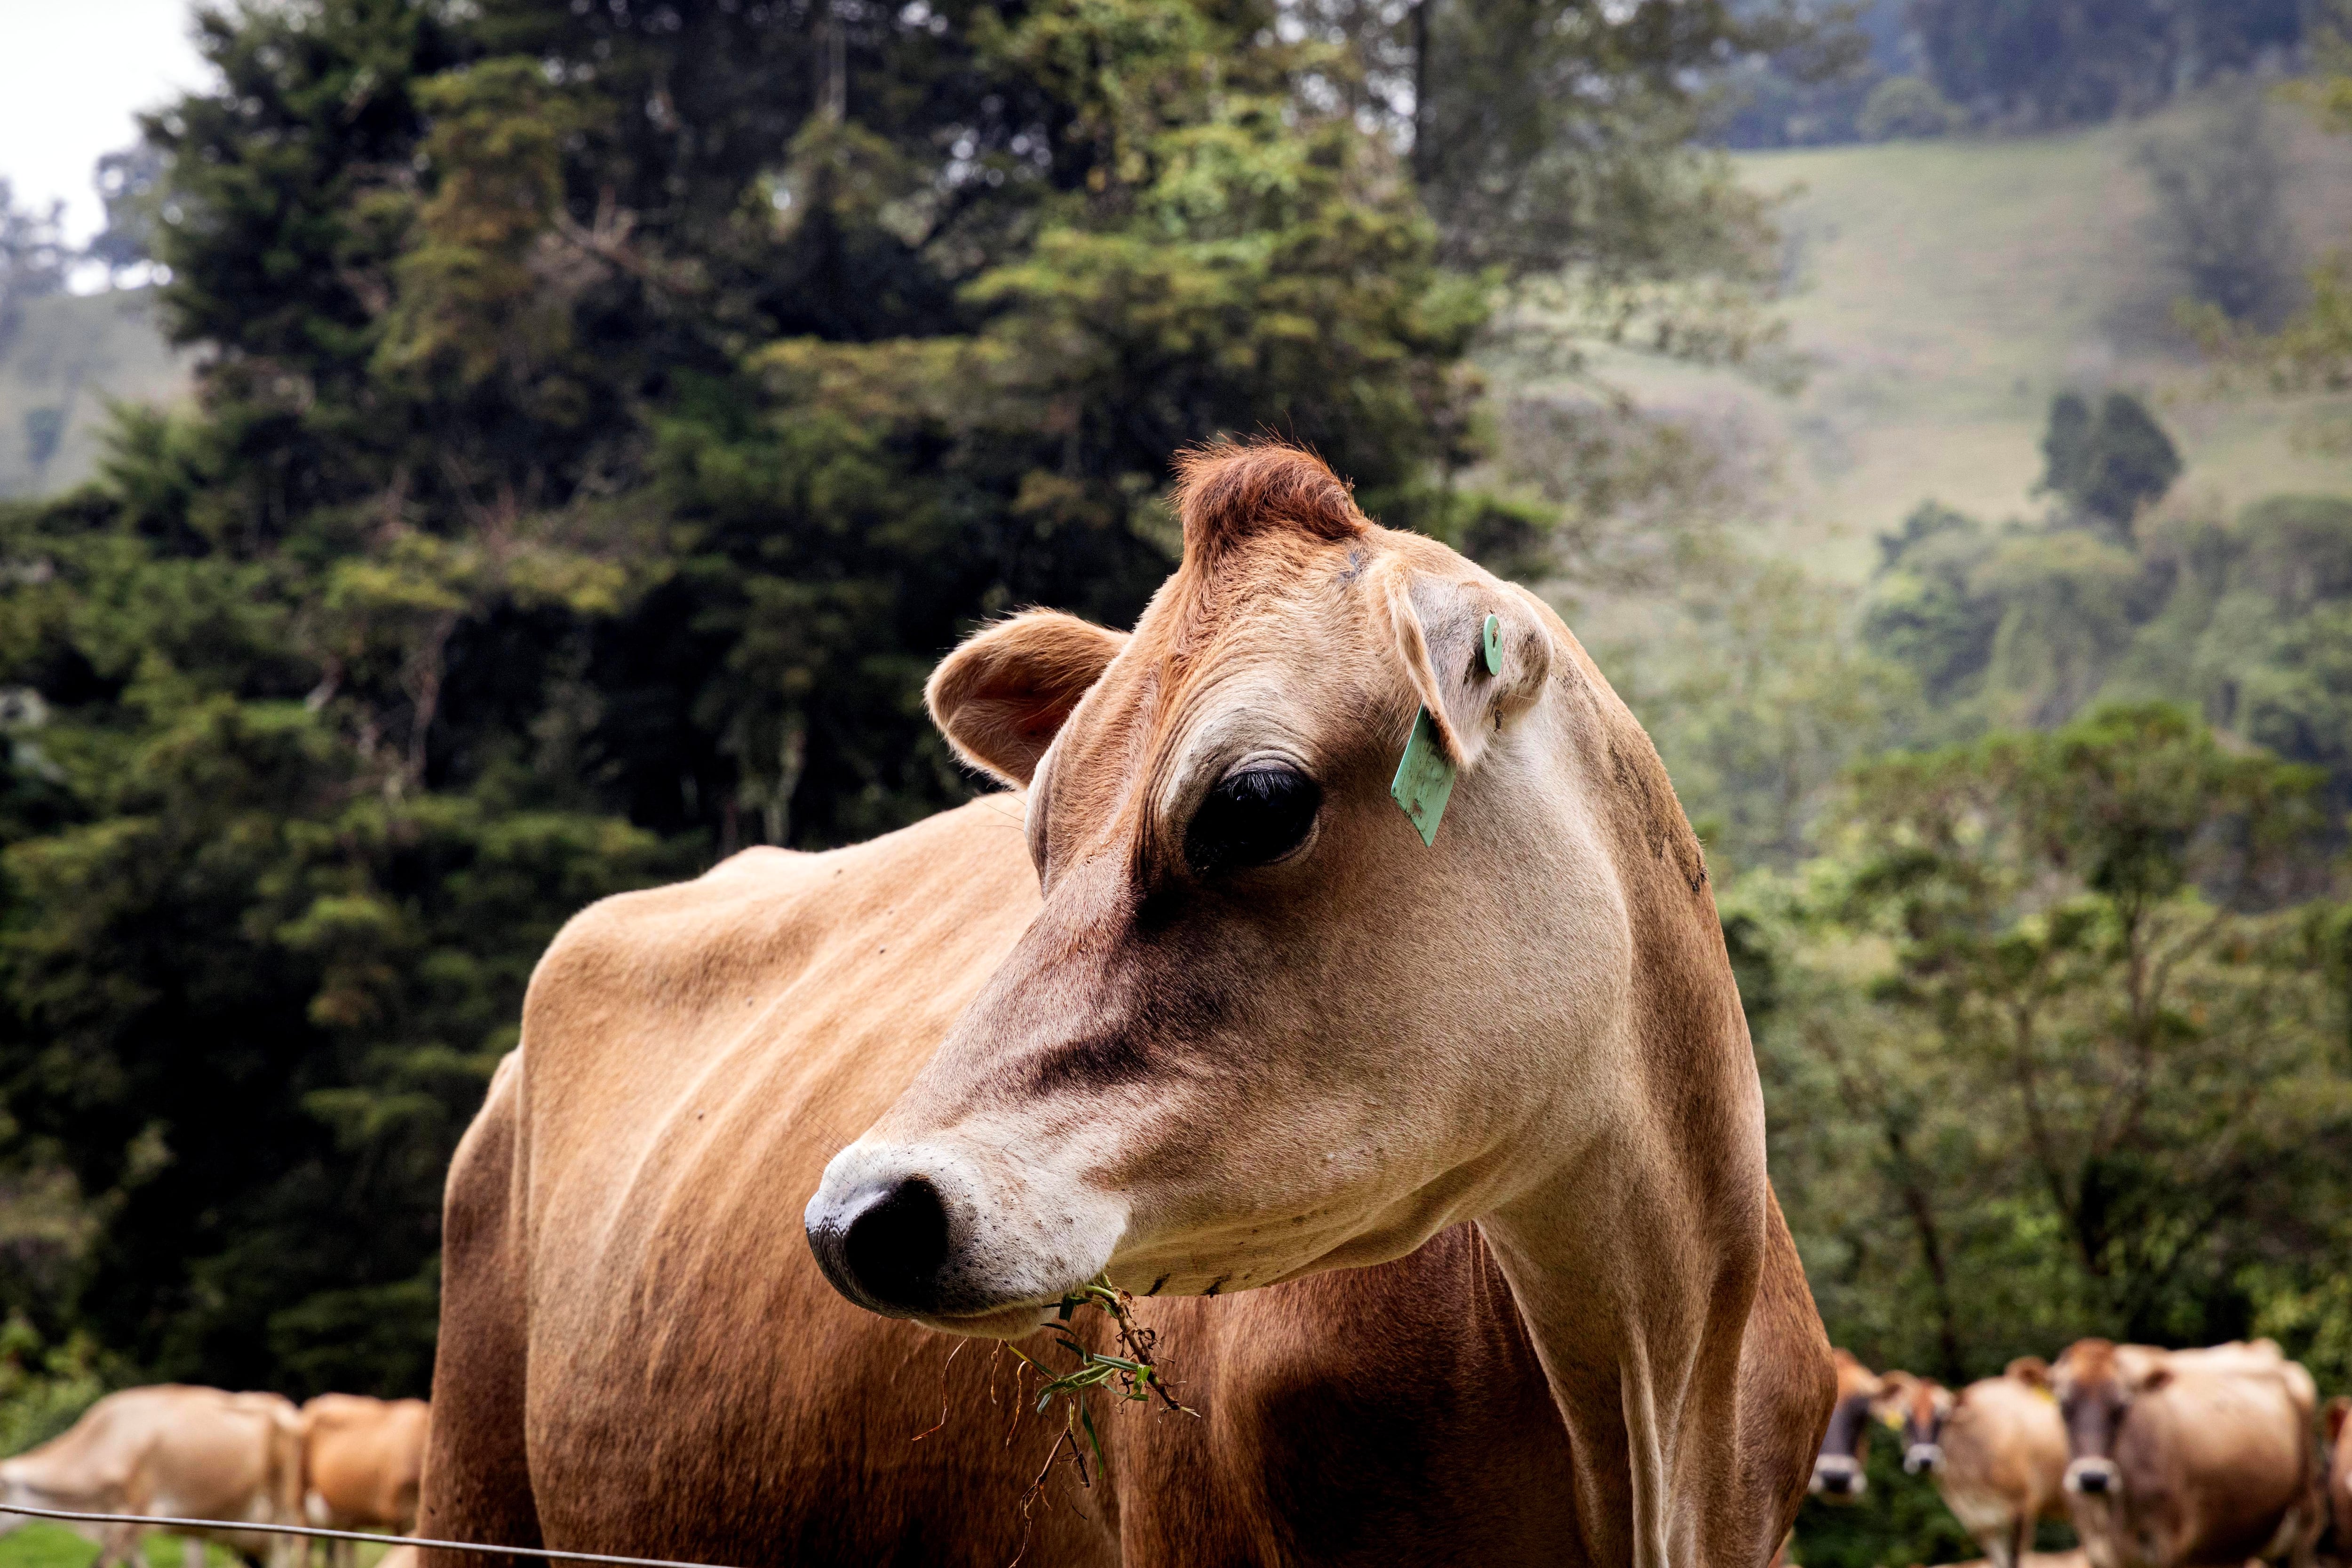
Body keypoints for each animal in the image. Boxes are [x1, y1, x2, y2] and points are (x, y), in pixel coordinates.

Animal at [2044, 1338, 2321, 1568]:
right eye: (2063, 1404)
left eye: (2122, 1406)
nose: (2092, 1478)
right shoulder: (2097, 1551)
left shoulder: (2169, 1542)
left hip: (2303, 1529)